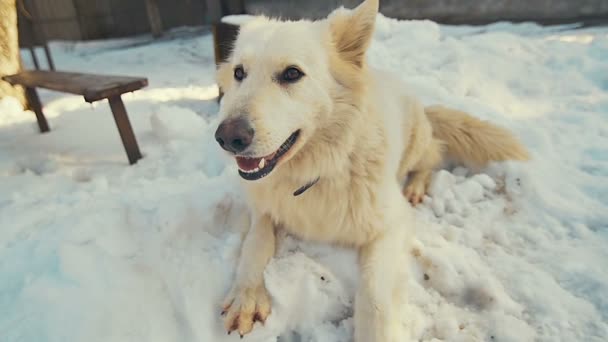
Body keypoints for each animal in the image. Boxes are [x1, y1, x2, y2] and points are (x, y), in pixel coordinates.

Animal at [214, 1, 528, 340]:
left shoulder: (392, 224)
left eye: (292, 74)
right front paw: (246, 295)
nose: (227, 138)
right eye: (239, 73)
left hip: (415, 143)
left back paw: (416, 185)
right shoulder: (263, 209)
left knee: (431, 157)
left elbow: (375, 294)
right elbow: (255, 244)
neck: (319, 171)